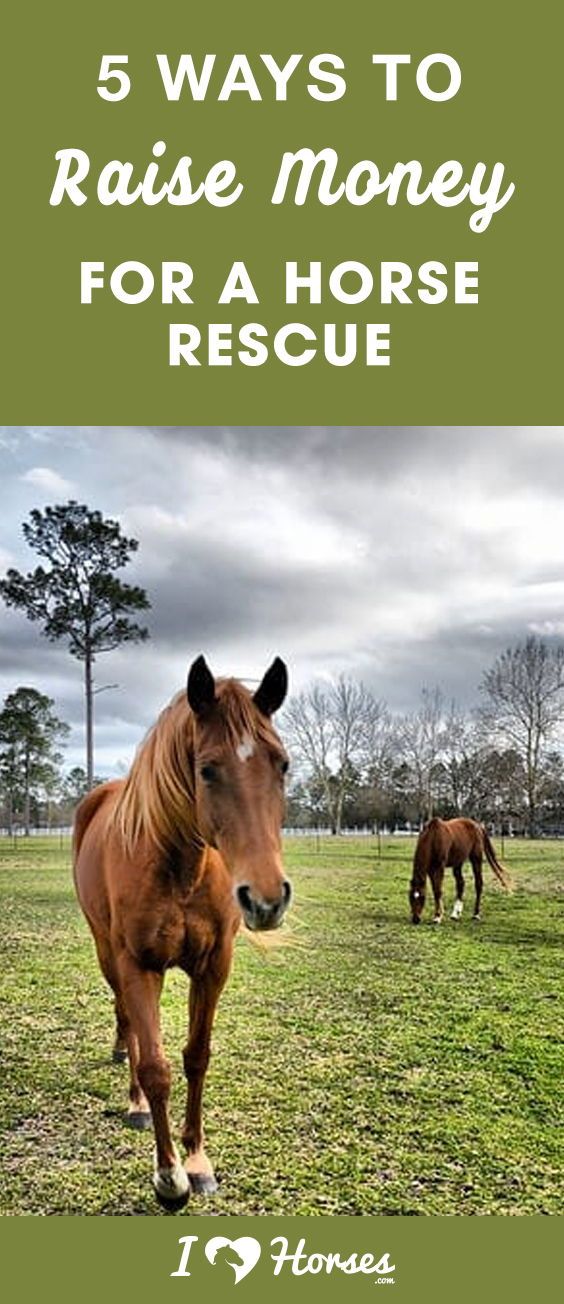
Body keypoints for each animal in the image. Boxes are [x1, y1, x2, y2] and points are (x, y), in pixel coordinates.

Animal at [72, 657, 290, 1204]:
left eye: (281, 765)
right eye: (207, 769)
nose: (266, 898)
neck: (180, 867)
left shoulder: (212, 968)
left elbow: (196, 1057)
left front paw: (196, 1159)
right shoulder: (138, 966)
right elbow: (156, 1067)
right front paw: (168, 1175)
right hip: (107, 952)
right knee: (127, 1021)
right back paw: (133, 1104)